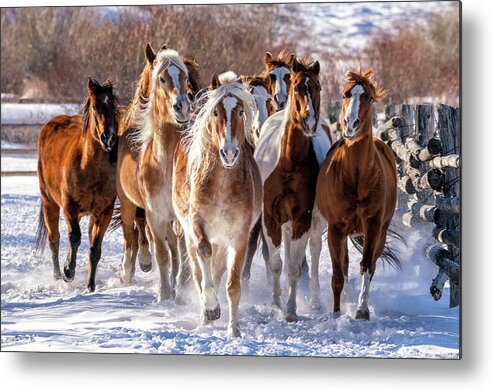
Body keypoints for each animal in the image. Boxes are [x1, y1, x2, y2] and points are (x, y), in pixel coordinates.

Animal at [35, 78, 119, 292]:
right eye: (95, 106)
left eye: (113, 106)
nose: (108, 137)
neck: (89, 166)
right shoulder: (69, 206)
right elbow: (74, 238)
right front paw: (68, 272)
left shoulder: (104, 212)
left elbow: (95, 249)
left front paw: (90, 285)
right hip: (49, 202)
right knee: (54, 239)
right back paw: (58, 275)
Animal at [174, 72, 264, 338]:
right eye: (215, 112)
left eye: (241, 111)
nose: (229, 153)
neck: (222, 182)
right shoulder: (197, 223)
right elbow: (204, 262)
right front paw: (211, 307)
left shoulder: (239, 236)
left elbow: (232, 285)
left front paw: (234, 330)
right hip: (189, 235)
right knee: (197, 272)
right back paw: (206, 315)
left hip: (223, 242)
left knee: (217, 269)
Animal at [252, 57, 328, 322]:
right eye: (297, 87)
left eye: (318, 87)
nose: (309, 121)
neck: (288, 162)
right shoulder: (270, 216)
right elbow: (276, 264)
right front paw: (276, 304)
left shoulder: (302, 217)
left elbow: (295, 267)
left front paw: (291, 310)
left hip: (315, 220)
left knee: (314, 253)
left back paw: (315, 301)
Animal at [316, 69, 400, 322]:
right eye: (345, 95)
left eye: (369, 98)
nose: (350, 125)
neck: (355, 177)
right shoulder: (335, 228)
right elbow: (337, 273)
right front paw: (335, 313)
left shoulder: (372, 225)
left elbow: (366, 265)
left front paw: (362, 309)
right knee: (343, 265)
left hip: (381, 231)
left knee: (371, 264)